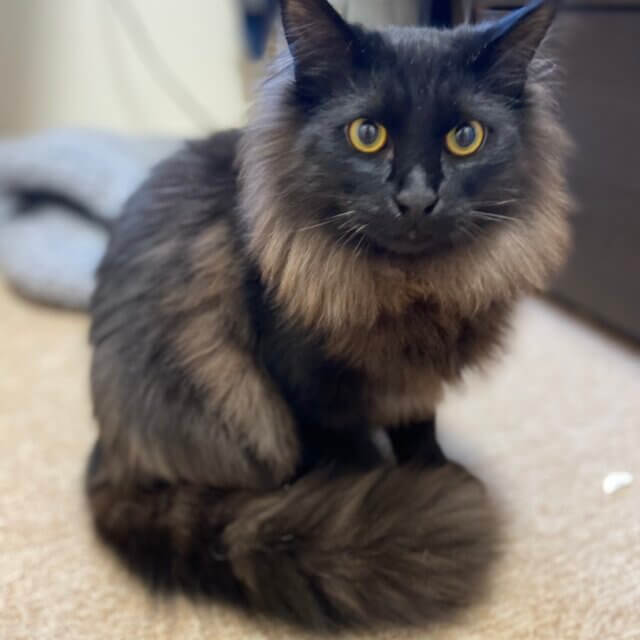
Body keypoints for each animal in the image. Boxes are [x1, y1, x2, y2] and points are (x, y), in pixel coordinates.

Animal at [87, 0, 571, 630]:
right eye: (367, 135)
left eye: (466, 138)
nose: (418, 199)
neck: (410, 292)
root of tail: (107, 457)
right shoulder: (306, 391)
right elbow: (346, 457)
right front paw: (384, 501)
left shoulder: (414, 382)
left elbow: (419, 430)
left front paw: (434, 471)